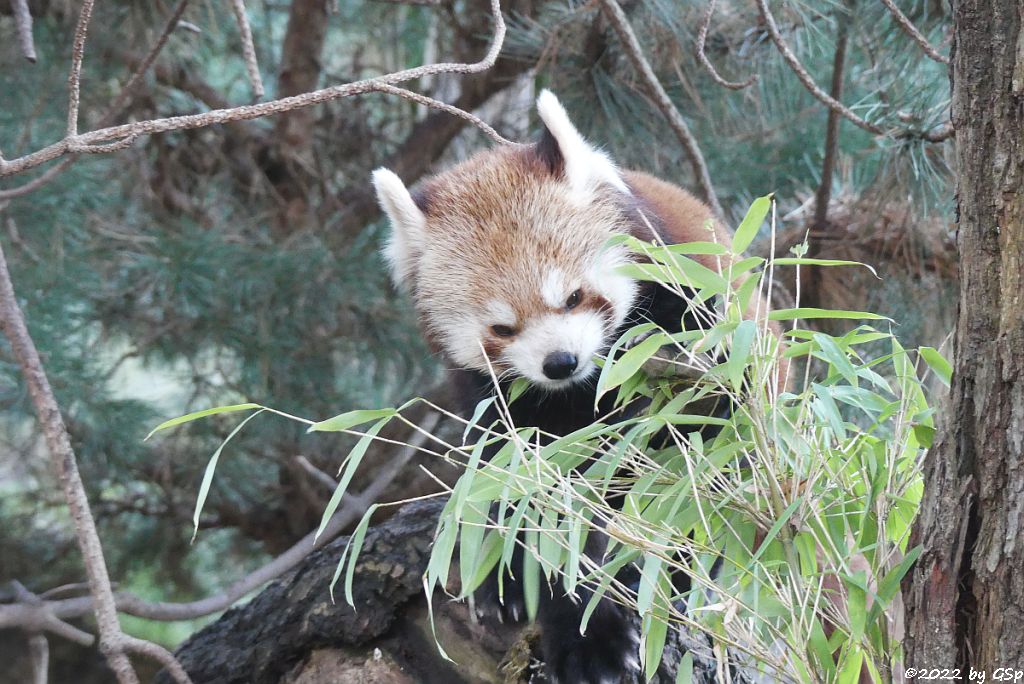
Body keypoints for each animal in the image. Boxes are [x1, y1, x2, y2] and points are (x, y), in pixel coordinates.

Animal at [372, 92, 765, 684]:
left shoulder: (692, 332)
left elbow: (677, 465)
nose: (560, 362)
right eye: (502, 328)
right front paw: (562, 611)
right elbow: (529, 494)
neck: (579, 392)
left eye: (574, 297)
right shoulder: (494, 401)